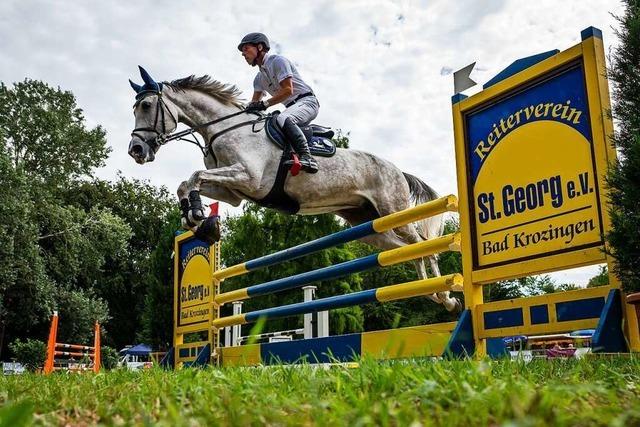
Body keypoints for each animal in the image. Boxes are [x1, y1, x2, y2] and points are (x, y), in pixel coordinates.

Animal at [126, 66, 460, 310]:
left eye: (146, 105)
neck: (224, 128)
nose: (136, 150)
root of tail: (398, 170)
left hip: (394, 210)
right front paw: (198, 221)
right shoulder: (234, 193)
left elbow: (194, 176)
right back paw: (432, 294)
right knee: (409, 249)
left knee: (423, 245)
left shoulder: (247, 178)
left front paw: (198, 217)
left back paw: (447, 297)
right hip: (369, 226)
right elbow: (186, 183)